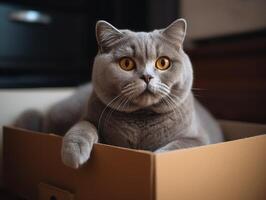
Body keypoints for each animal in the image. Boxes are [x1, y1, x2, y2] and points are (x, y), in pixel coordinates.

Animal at [14, 18, 222, 169]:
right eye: (126, 63)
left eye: (163, 63)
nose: (147, 76)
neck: (141, 120)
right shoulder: (90, 117)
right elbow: (83, 126)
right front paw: (73, 153)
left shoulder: (199, 139)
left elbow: (174, 148)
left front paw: (155, 159)